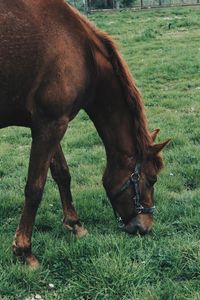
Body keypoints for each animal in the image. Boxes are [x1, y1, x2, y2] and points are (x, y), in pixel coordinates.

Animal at [0, 0, 170, 268]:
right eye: (151, 179)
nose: (145, 227)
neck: (81, 50)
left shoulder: (49, 123)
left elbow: (62, 174)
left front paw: (74, 224)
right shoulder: (51, 125)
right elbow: (34, 188)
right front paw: (24, 250)